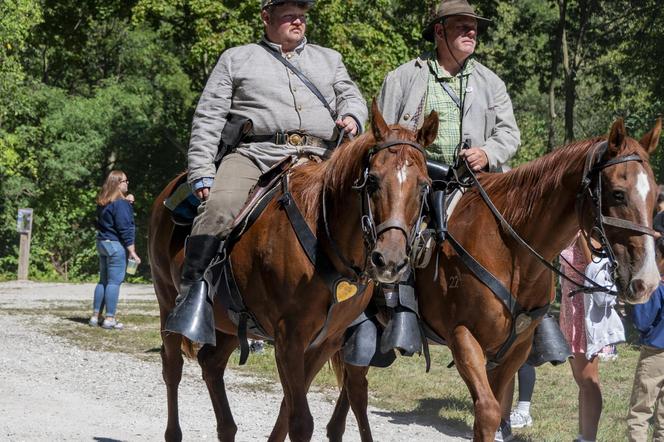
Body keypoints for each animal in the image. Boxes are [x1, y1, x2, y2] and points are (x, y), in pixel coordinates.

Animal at [150, 104, 440, 442]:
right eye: (373, 182)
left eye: (424, 186)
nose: (390, 261)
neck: (324, 238)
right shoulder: (289, 338)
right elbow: (300, 421)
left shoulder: (324, 342)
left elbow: (288, 409)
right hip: (167, 301)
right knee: (172, 367)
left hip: (231, 322)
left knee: (211, 365)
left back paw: (227, 428)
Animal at [324, 118, 660, 442]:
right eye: (618, 193)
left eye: (656, 196)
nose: (647, 281)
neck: (512, 250)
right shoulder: (463, 337)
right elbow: (487, 412)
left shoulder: (515, 349)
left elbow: (498, 408)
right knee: (356, 388)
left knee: (353, 386)